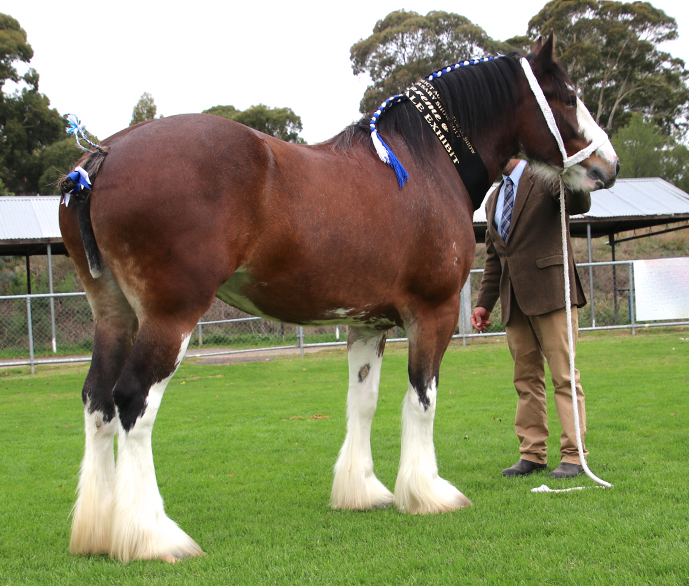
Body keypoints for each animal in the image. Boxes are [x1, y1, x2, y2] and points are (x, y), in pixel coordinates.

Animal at [59, 33, 618, 562]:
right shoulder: (431, 314)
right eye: (570, 96)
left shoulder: (367, 323)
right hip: (169, 317)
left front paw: (363, 490)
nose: (607, 167)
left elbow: (363, 401)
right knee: (133, 403)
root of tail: (100, 159)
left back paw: (98, 532)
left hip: (114, 316)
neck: (424, 162)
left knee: (97, 402)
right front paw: (428, 493)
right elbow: (422, 400)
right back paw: (152, 537)